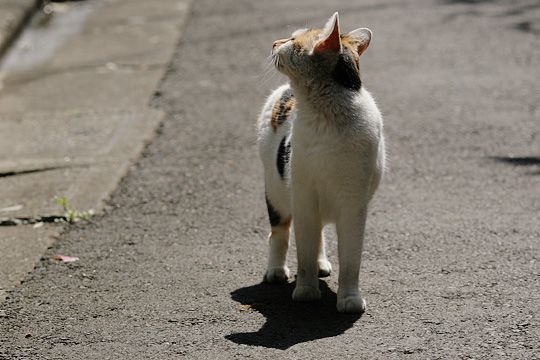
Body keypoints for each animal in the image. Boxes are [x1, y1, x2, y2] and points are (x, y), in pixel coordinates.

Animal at [256, 12, 384, 314]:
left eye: (292, 40)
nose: (274, 42)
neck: (328, 114)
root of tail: (284, 91)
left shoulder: (353, 203)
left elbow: (350, 260)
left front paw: (349, 299)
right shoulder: (303, 195)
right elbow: (303, 251)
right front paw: (306, 291)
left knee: (320, 233)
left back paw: (322, 263)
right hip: (277, 192)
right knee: (279, 233)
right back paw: (276, 271)